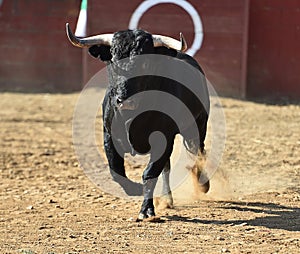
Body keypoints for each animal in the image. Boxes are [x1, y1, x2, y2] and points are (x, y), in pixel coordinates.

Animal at [67, 23, 210, 220]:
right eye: (113, 60)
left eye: (146, 63)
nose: (125, 100)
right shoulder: (109, 136)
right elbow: (116, 171)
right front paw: (136, 190)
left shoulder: (163, 138)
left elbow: (150, 173)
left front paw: (146, 210)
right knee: (168, 167)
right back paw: (167, 199)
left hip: (197, 126)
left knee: (198, 152)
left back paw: (203, 184)